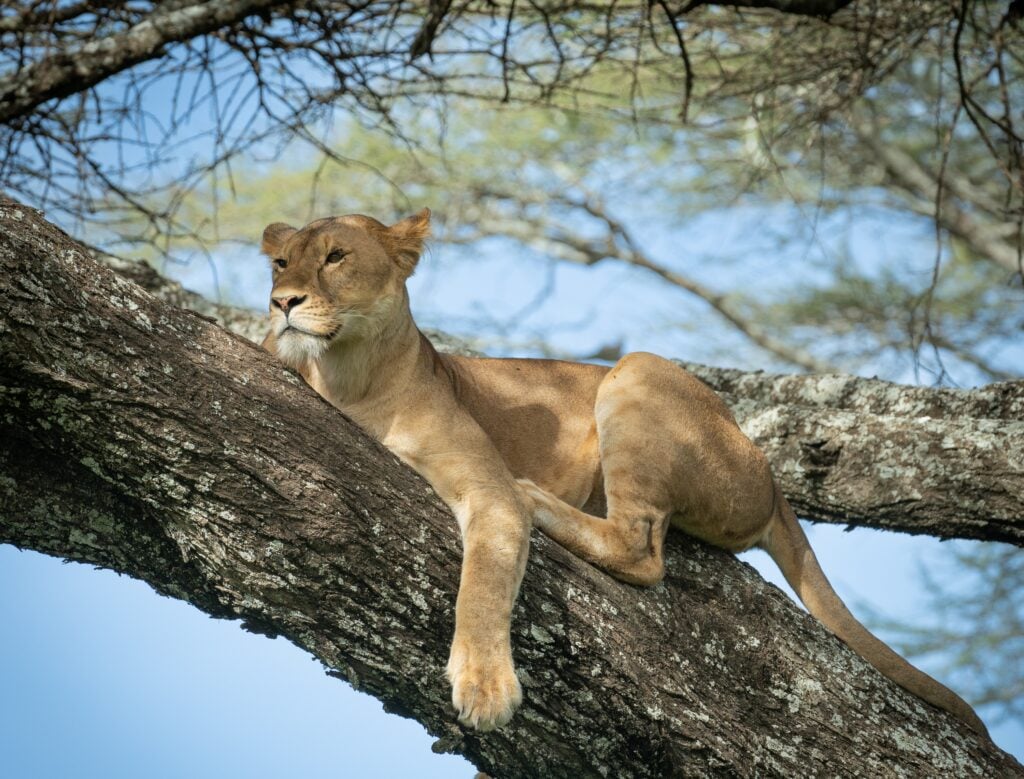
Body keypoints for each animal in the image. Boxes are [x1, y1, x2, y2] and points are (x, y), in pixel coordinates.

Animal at [259, 208, 987, 737]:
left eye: (336, 257)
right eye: (280, 261)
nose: (281, 301)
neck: (348, 375)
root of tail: (774, 481)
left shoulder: (484, 485)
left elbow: (484, 583)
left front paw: (485, 687)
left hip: (636, 371)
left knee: (640, 547)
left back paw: (541, 499)